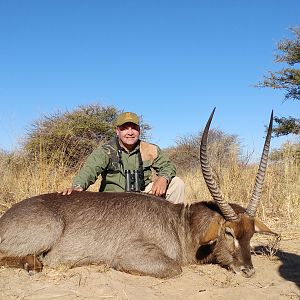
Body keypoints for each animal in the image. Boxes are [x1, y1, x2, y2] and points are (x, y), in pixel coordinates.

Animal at [0, 109, 276, 278]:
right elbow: (175, 268)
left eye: (251, 234)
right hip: (49, 229)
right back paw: (34, 265)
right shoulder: (133, 254)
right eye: (228, 232)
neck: (181, 224)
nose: (248, 271)